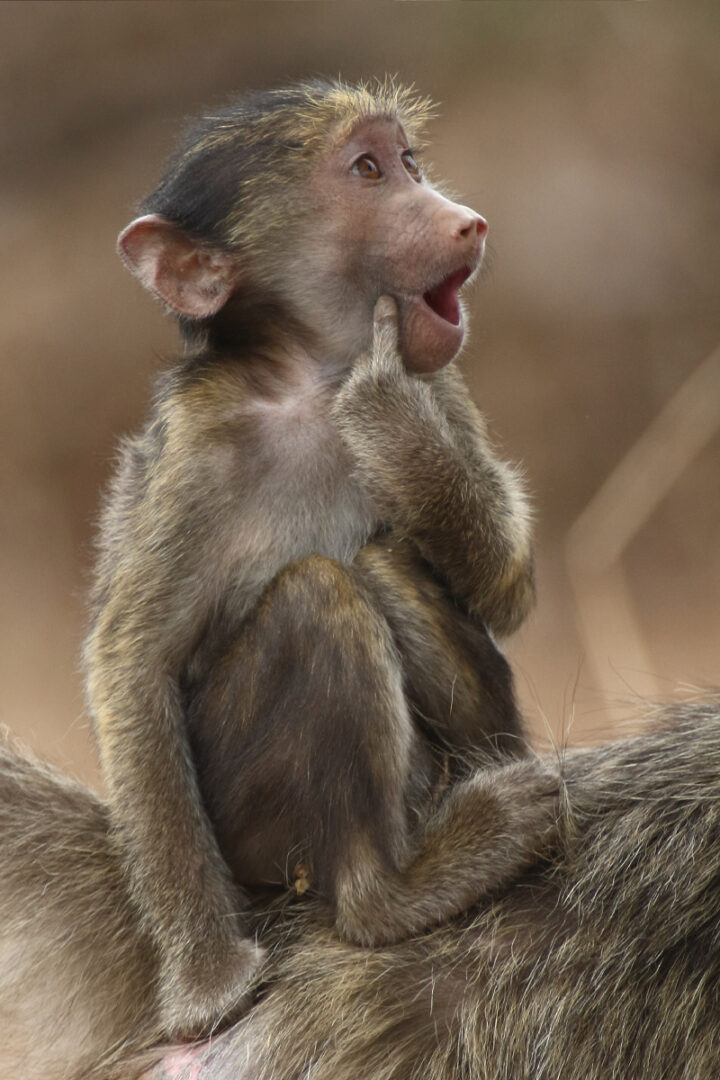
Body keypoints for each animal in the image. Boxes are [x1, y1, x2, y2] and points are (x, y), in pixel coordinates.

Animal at [83, 77, 555, 1040]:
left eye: (408, 160)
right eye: (367, 171)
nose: (466, 221)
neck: (308, 381)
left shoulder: (441, 376)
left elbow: (509, 582)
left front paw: (386, 419)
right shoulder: (195, 449)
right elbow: (133, 668)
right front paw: (209, 981)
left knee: (383, 562)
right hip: (250, 831)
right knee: (317, 597)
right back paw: (397, 890)